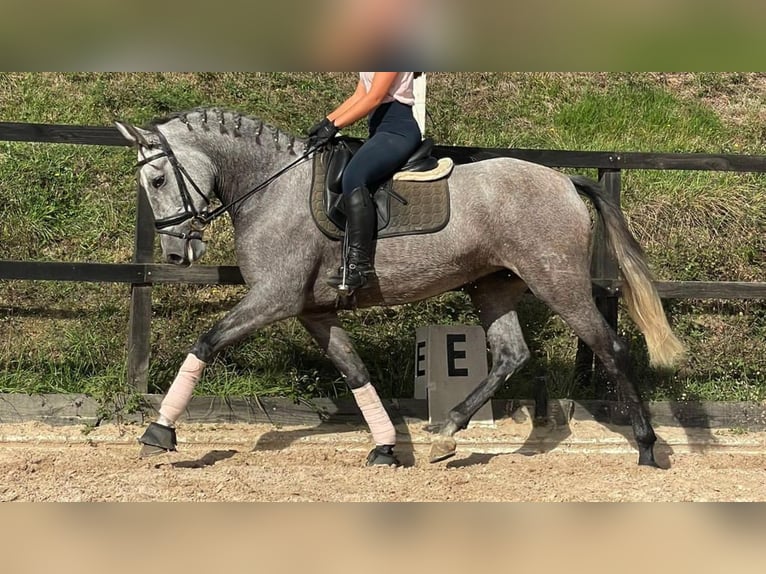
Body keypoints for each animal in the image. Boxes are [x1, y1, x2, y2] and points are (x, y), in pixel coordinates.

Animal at [117, 107, 688, 468]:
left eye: (158, 180)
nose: (175, 253)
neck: (271, 186)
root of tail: (564, 180)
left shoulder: (273, 299)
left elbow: (207, 341)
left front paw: (159, 433)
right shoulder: (313, 311)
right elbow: (354, 370)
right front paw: (388, 447)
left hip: (556, 279)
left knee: (610, 348)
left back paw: (646, 447)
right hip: (493, 286)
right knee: (510, 354)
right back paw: (447, 432)